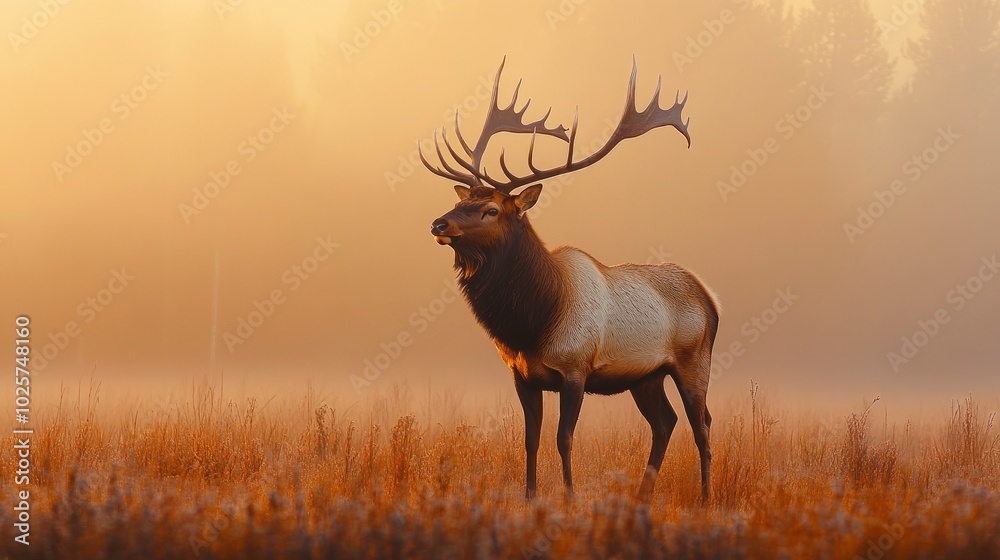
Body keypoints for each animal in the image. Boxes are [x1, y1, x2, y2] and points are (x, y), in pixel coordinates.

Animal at [419, 58, 719, 504]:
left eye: (491, 210)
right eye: (462, 201)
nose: (439, 223)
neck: (533, 321)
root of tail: (711, 298)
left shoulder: (576, 369)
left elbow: (564, 438)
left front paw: (570, 497)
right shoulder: (522, 374)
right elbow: (530, 439)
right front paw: (529, 497)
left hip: (694, 360)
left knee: (702, 426)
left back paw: (703, 498)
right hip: (646, 375)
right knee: (665, 423)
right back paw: (641, 496)